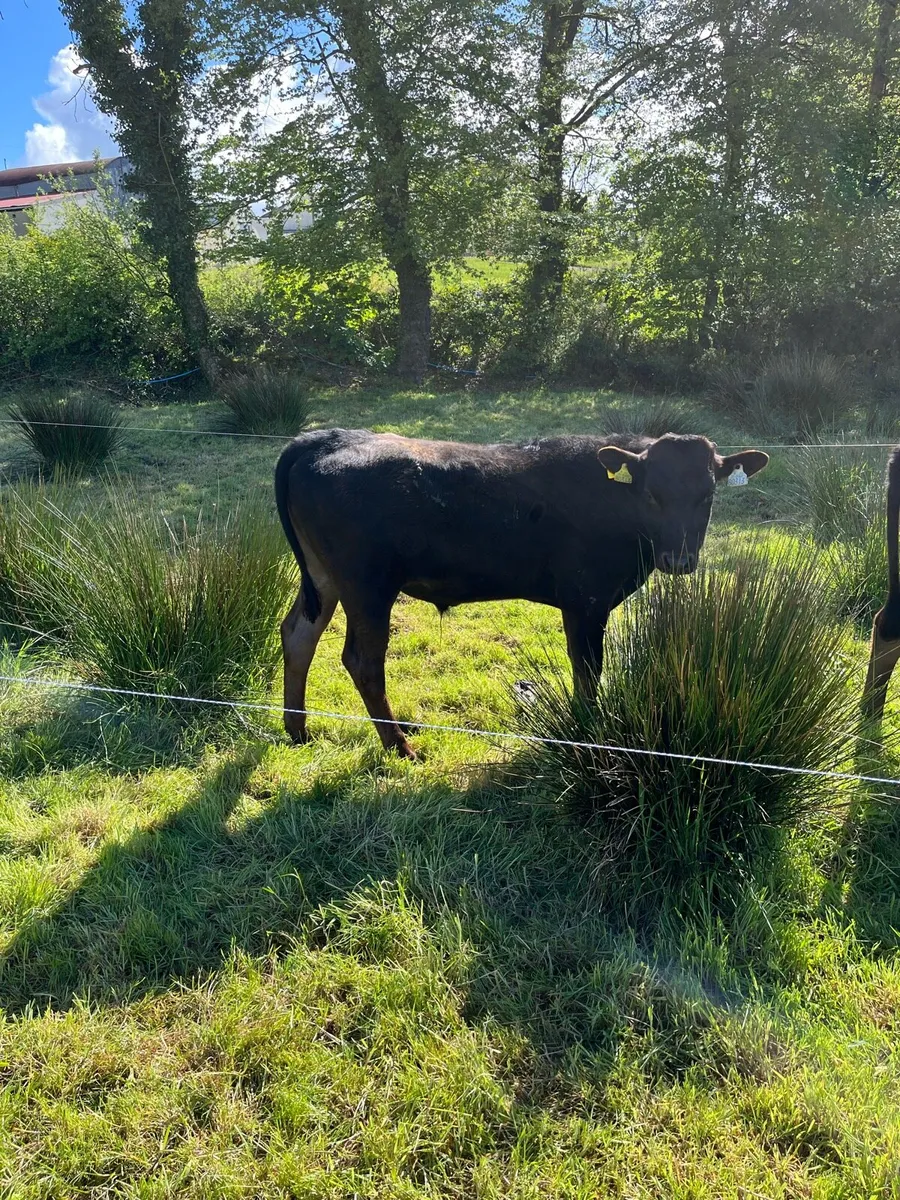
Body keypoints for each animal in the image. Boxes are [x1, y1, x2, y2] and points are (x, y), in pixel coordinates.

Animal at [274, 428, 769, 758]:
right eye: (651, 495)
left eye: (707, 496)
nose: (679, 560)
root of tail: (326, 437)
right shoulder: (586, 599)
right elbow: (588, 669)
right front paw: (586, 730)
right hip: (368, 585)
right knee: (362, 661)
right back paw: (401, 747)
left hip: (324, 578)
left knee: (298, 634)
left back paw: (298, 730)